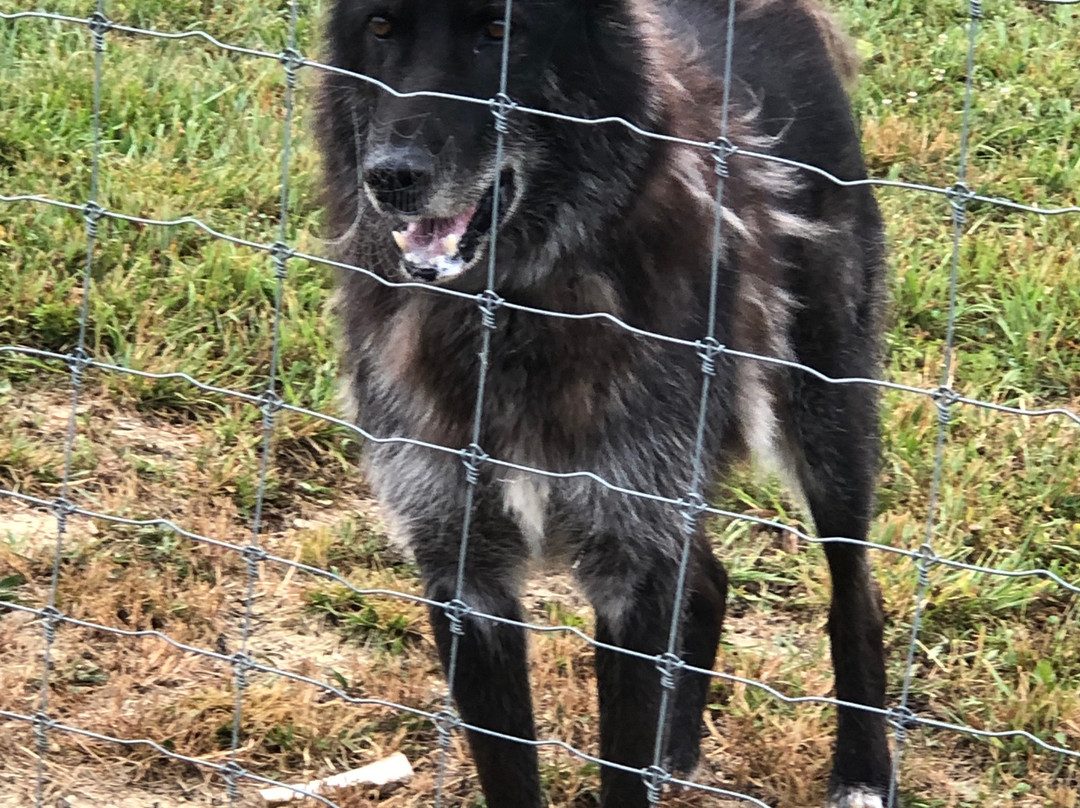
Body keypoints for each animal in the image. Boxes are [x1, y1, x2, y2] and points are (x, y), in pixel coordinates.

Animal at [315, 1, 891, 806]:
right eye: (380, 28)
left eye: (500, 31)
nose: (391, 177)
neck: (513, 313)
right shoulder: (468, 577)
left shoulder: (630, 567)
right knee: (709, 582)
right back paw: (674, 749)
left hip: (825, 421)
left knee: (856, 597)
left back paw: (863, 770)